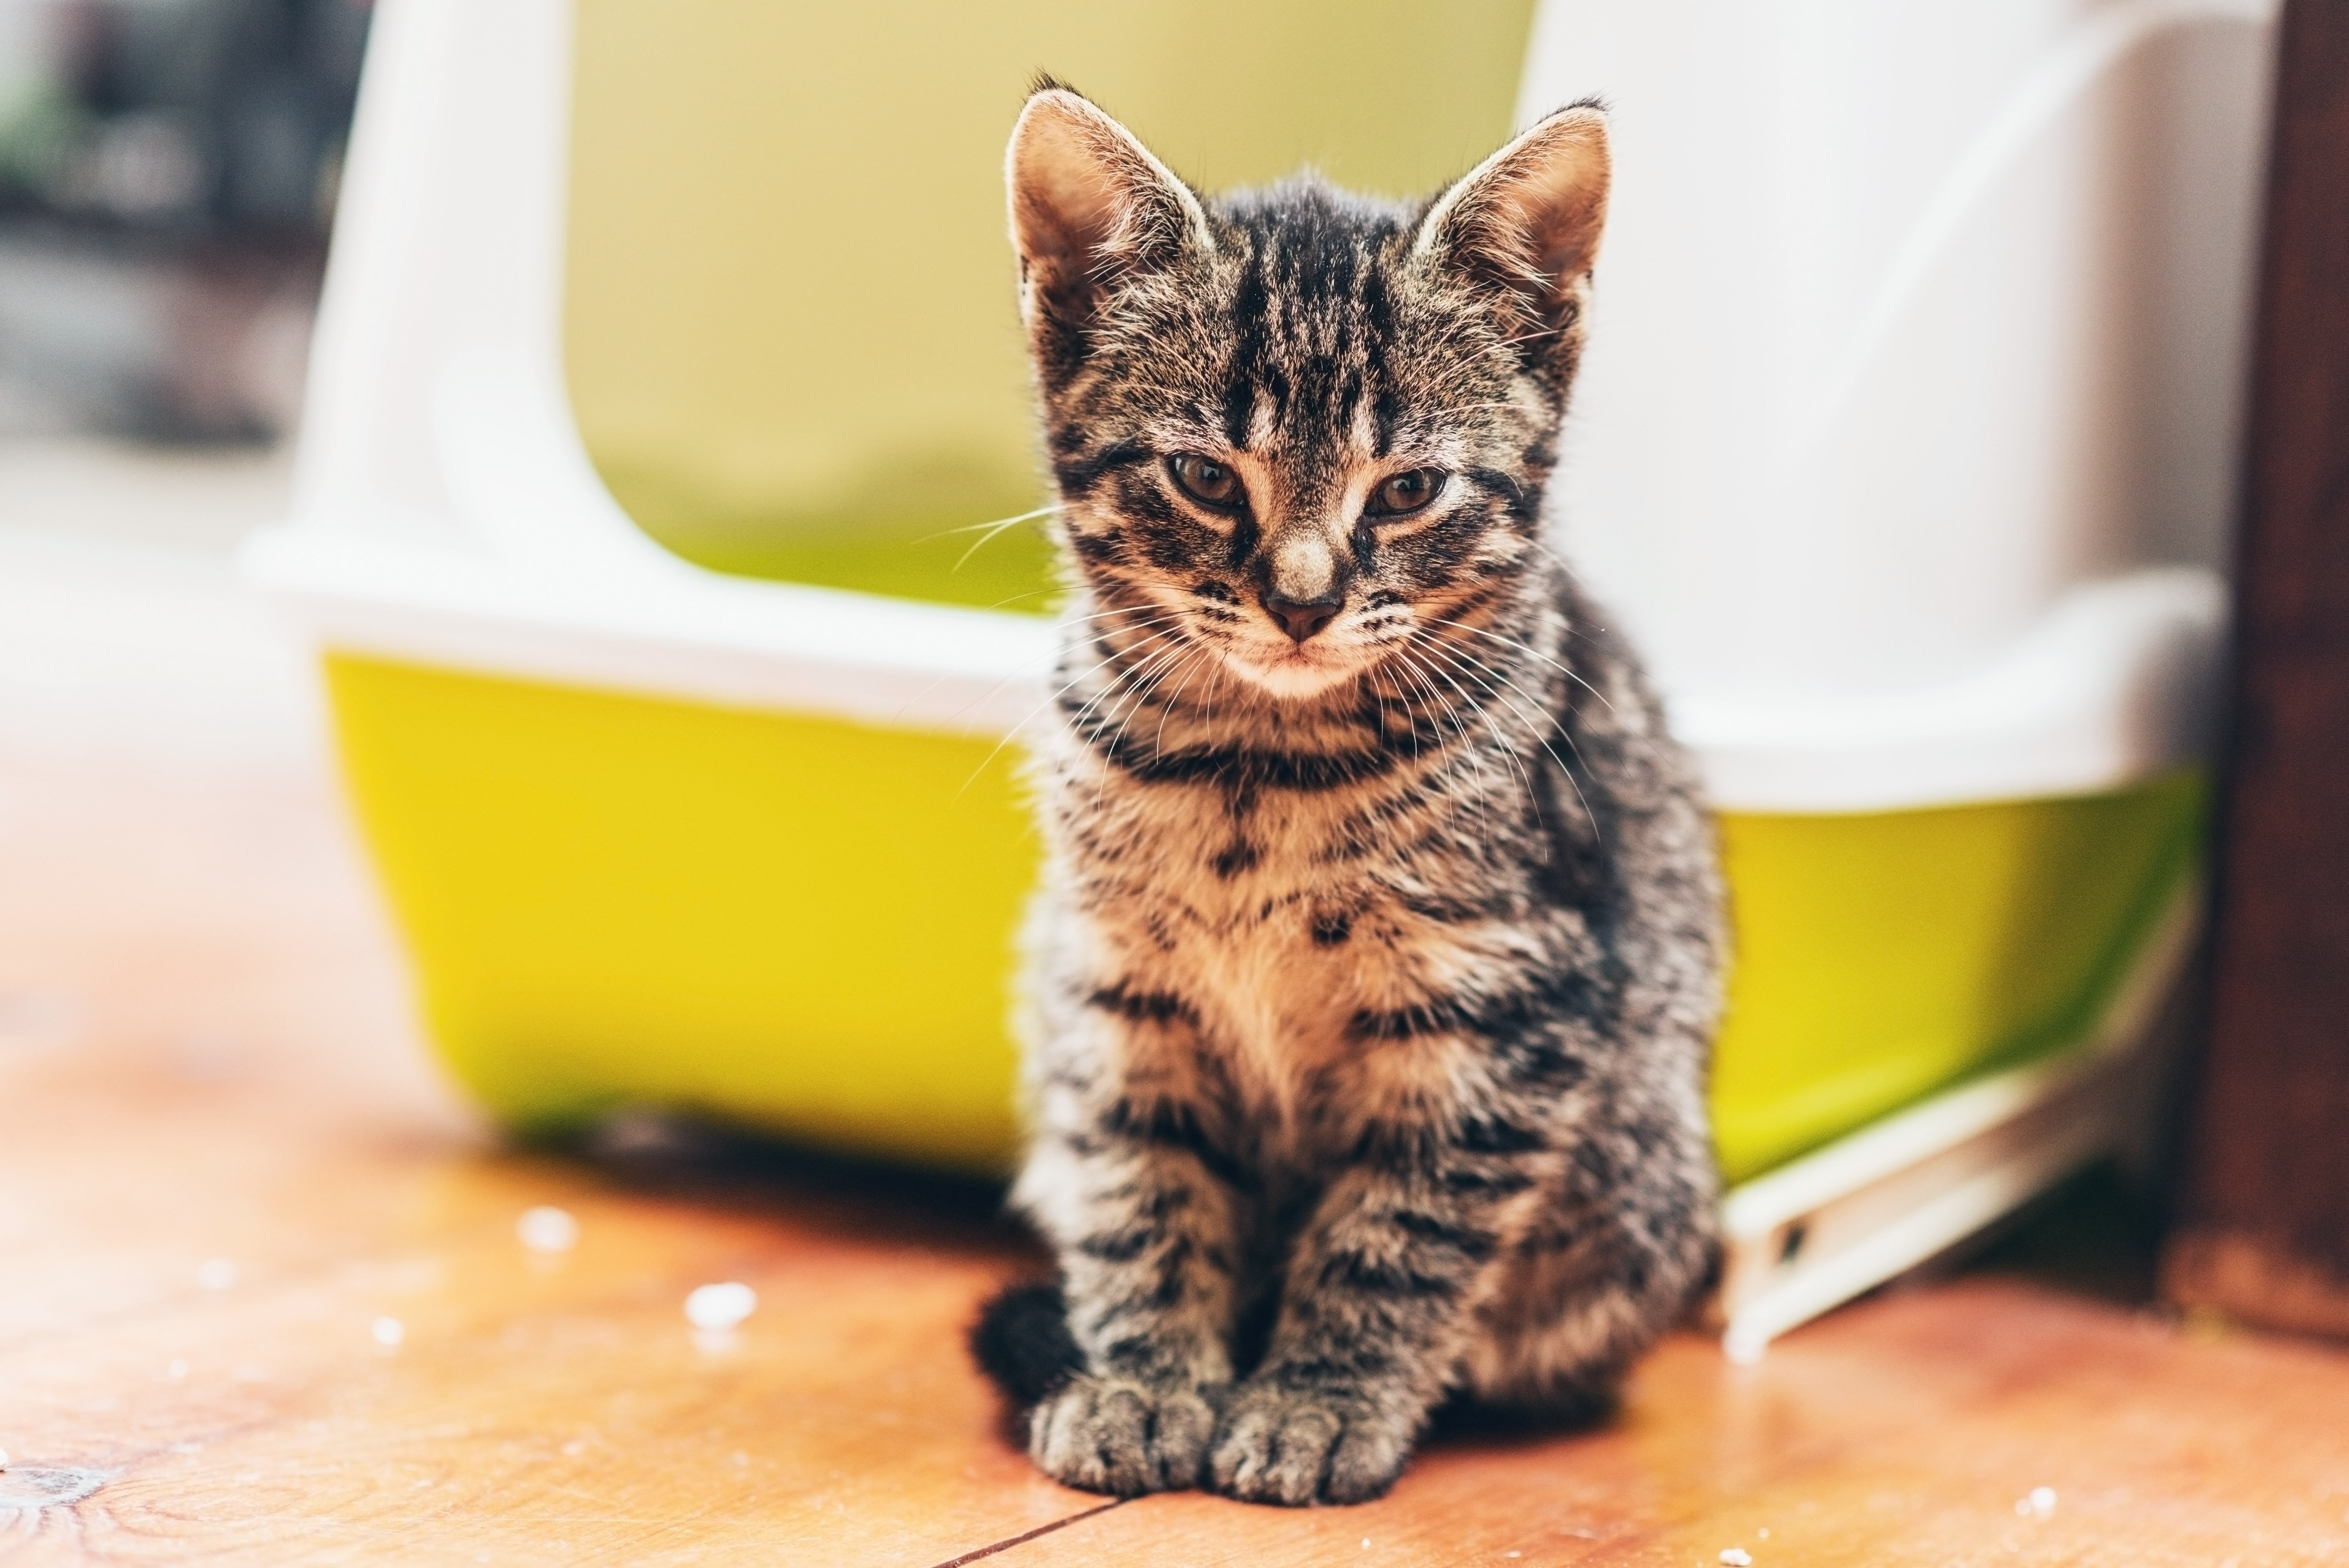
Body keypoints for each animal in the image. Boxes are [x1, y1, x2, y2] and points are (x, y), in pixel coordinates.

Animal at [972, 86, 1729, 1504]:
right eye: (1207, 478)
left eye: (1409, 490)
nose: (1302, 600)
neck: (1253, 767)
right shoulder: (1114, 986)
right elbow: (1142, 1191)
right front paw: (1142, 1380)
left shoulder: (1503, 1005)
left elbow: (1396, 1230)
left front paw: (1318, 1402)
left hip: (1637, 1191)